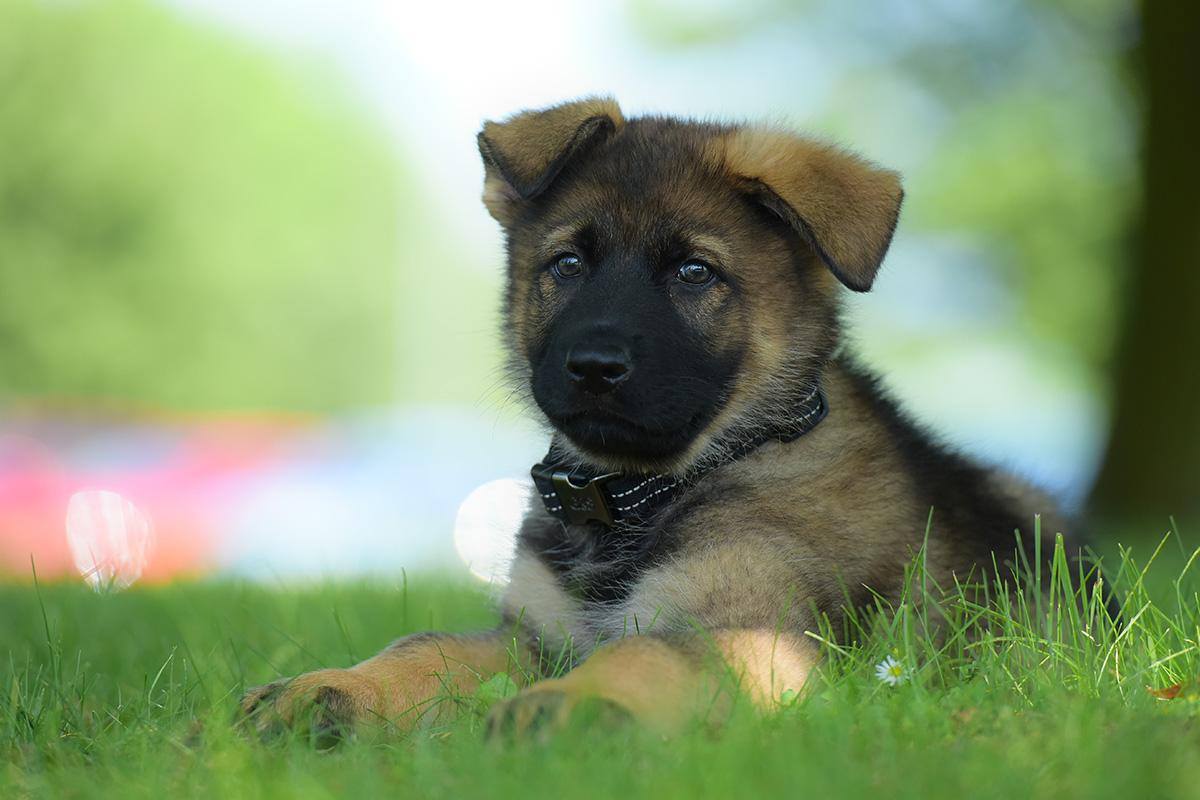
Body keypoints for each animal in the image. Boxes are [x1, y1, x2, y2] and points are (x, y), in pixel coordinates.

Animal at [243, 98, 1080, 738]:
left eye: (694, 272)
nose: (593, 366)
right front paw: (330, 689)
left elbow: (645, 655)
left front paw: (565, 706)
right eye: (567, 264)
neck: (643, 493)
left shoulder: (750, 633)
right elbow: (428, 644)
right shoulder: (537, 632)